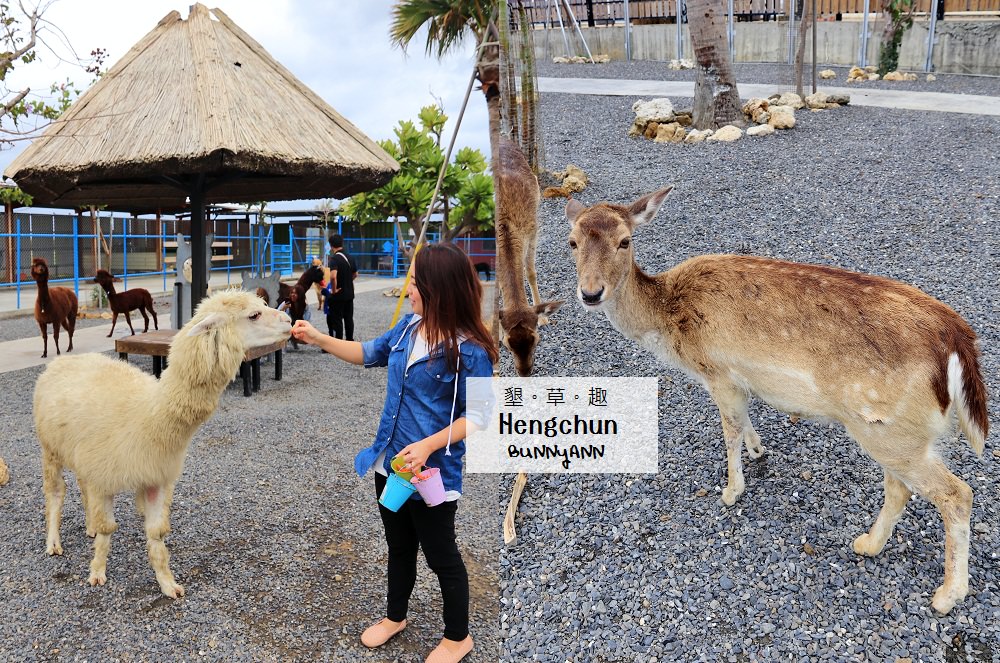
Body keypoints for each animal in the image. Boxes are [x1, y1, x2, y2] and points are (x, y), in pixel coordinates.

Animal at [494, 137, 564, 376]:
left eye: (536, 340)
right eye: (507, 344)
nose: (524, 373)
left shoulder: (533, 230)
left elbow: (531, 272)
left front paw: (543, 316)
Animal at [568, 185, 988, 612]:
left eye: (625, 241)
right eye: (572, 241)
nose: (591, 293)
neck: (671, 327)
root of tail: (958, 340)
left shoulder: (718, 372)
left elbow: (730, 431)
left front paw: (731, 491)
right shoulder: (740, 379)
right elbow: (745, 422)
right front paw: (758, 450)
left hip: (891, 431)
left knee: (957, 493)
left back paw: (947, 595)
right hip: (892, 431)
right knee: (901, 488)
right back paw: (869, 544)